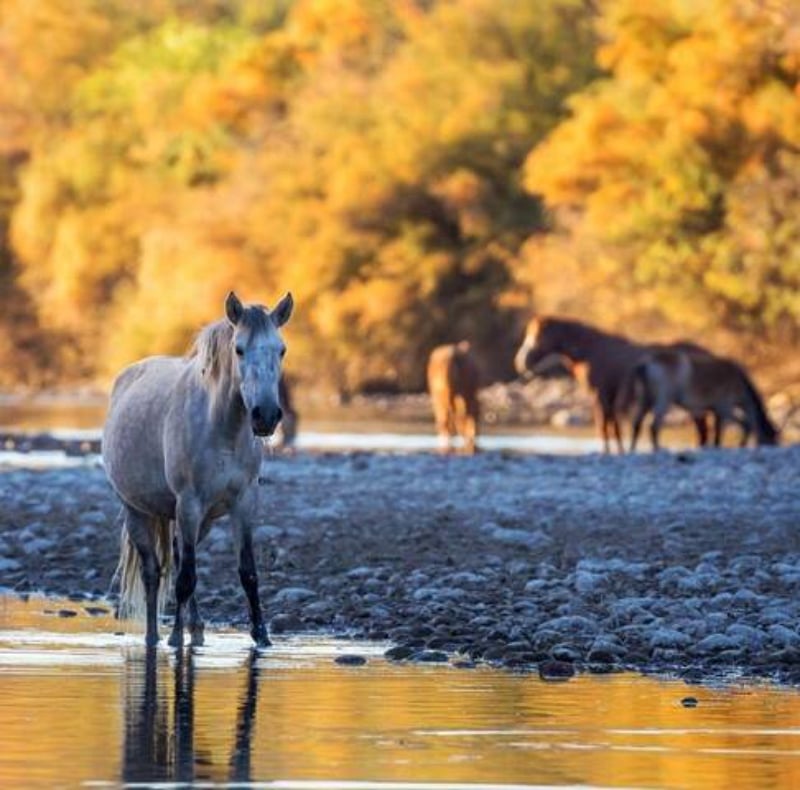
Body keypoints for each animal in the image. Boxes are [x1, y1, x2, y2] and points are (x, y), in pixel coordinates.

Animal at [102, 290, 293, 648]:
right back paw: (154, 636)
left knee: (178, 557)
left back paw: (197, 627)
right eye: (239, 349)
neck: (222, 428)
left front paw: (261, 636)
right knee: (154, 572)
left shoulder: (243, 503)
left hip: (198, 520)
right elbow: (184, 578)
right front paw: (175, 638)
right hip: (138, 512)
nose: (266, 415)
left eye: (282, 350)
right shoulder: (188, 503)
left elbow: (247, 572)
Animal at [514, 316, 646, 453]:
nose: (519, 362)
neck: (589, 352)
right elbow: (612, 427)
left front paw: (607, 451)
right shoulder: (608, 395)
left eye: (537, 335)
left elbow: (604, 426)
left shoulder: (599, 394)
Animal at [629, 348, 779, 450]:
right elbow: (745, 424)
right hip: (664, 399)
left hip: (646, 399)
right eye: (771, 438)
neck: (741, 383)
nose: (774, 445)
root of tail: (646, 363)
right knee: (654, 425)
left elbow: (716, 432)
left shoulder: (715, 410)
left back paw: (632, 449)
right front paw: (740, 445)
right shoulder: (725, 407)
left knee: (637, 423)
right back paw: (657, 448)